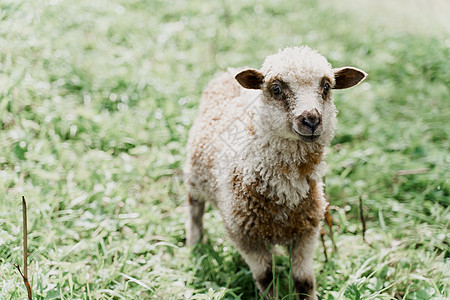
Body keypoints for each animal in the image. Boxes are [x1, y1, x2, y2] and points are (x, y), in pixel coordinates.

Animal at [185, 45, 368, 298]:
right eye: (276, 88)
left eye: (326, 87)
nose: (311, 119)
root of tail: (228, 71)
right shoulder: (244, 235)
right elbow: (266, 278)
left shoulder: (306, 231)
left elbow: (304, 280)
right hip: (194, 177)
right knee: (195, 211)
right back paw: (195, 245)